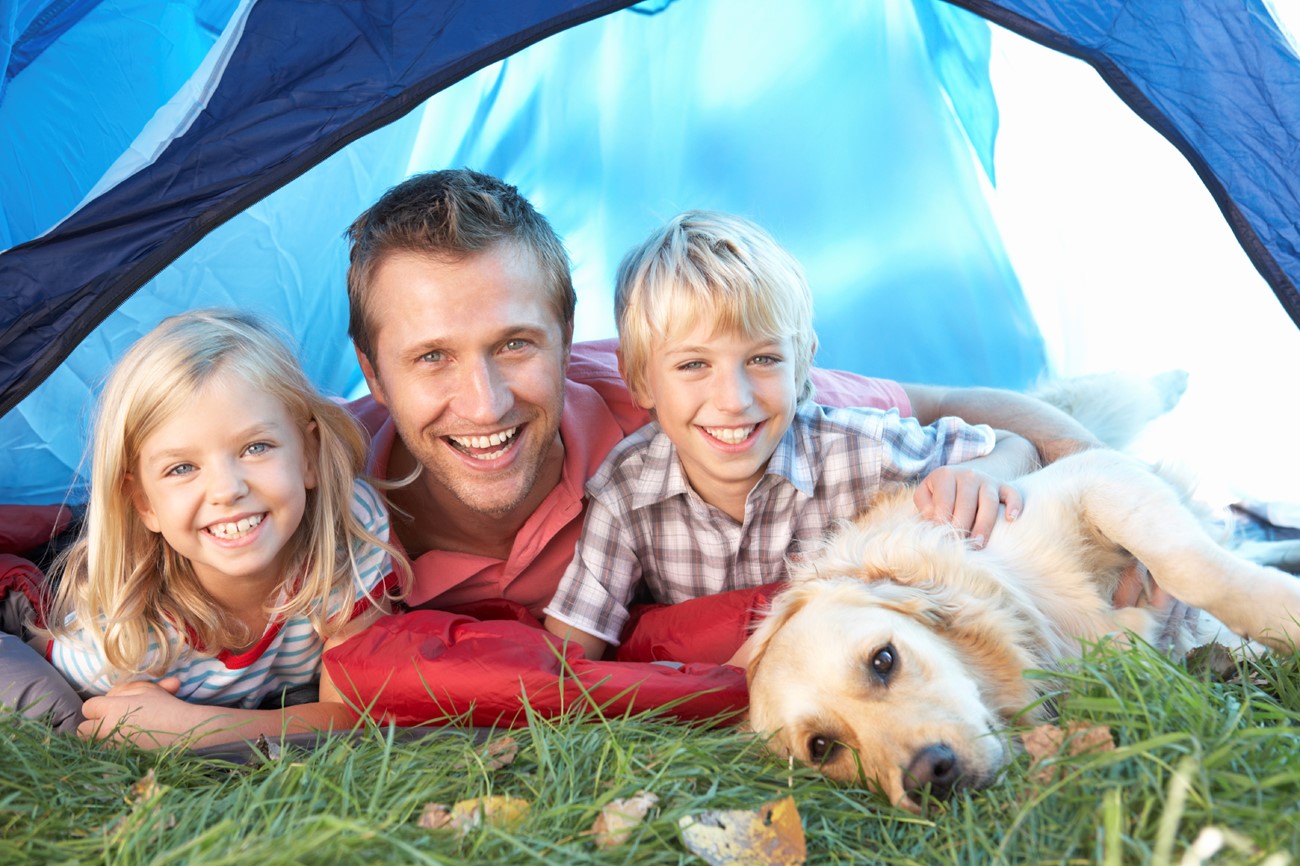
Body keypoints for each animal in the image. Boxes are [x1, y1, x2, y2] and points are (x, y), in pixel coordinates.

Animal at [743, 371, 1300, 811]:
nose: (929, 776)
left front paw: (1281, 613)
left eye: (883, 660)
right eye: (822, 748)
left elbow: (1187, 567)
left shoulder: (1092, 477)